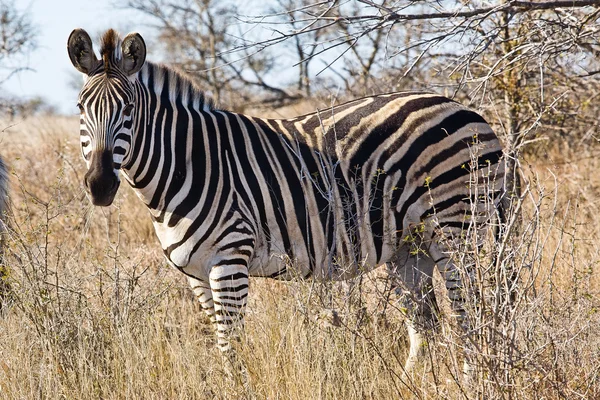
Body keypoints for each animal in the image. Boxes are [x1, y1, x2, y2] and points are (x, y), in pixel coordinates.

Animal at [65, 28, 506, 376]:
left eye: (129, 109)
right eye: (80, 108)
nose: (100, 185)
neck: (188, 164)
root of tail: (469, 110)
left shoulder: (230, 259)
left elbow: (229, 346)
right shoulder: (195, 274)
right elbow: (219, 344)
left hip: (457, 228)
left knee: (470, 311)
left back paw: (472, 379)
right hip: (409, 247)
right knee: (426, 326)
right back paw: (410, 384)